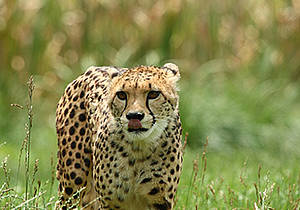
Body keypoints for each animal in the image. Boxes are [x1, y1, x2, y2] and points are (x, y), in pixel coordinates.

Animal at [55, 63, 184, 209]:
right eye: (121, 95)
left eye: (153, 94)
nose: (134, 116)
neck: (138, 148)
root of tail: (92, 69)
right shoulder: (109, 202)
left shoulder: (160, 201)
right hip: (73, 181)